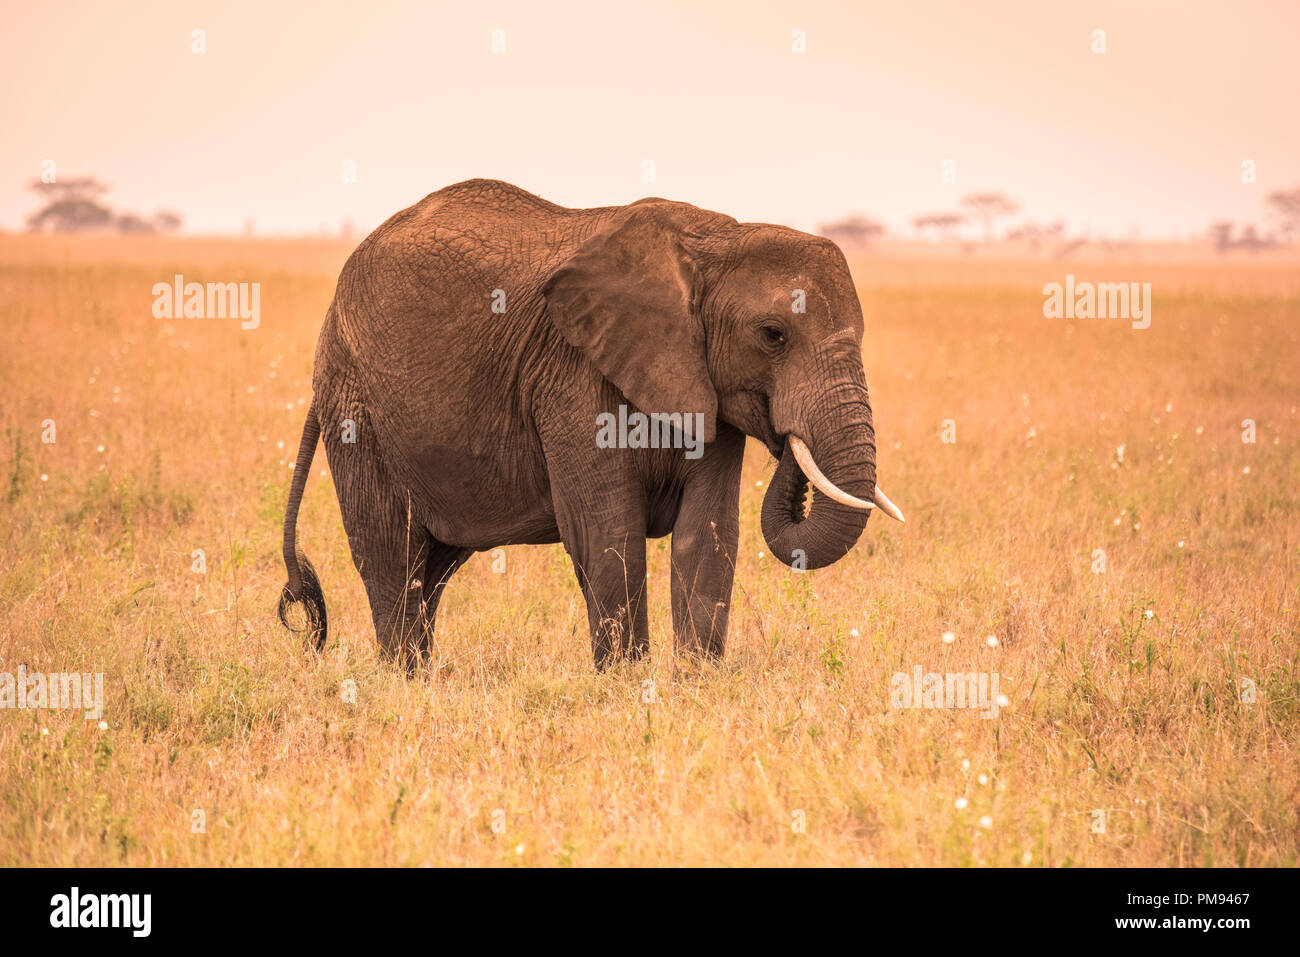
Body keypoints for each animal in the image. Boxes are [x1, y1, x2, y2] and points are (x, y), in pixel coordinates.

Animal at [278, 179, 903, 672]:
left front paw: (696, 679)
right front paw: (628, 682)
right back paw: (406, 680)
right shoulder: (572, 373)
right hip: (356, 406)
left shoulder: (701, 384)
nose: (784, 438)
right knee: (392, 550)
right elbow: (608, 531)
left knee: (431, 565)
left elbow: (708, 534)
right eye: (773, 335)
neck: (714, 239)